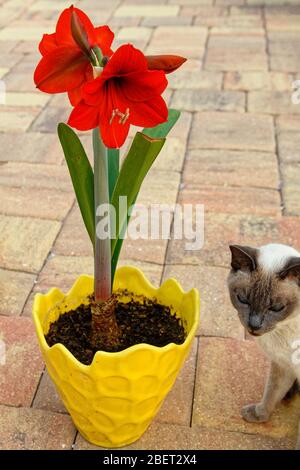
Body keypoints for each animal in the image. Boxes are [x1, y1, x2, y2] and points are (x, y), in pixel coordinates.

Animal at [227, 244, 300, 450]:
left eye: (276, 308)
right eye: (243, 299)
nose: (254, 325)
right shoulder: (282, 365)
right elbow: (272, 392)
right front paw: (259, 415)